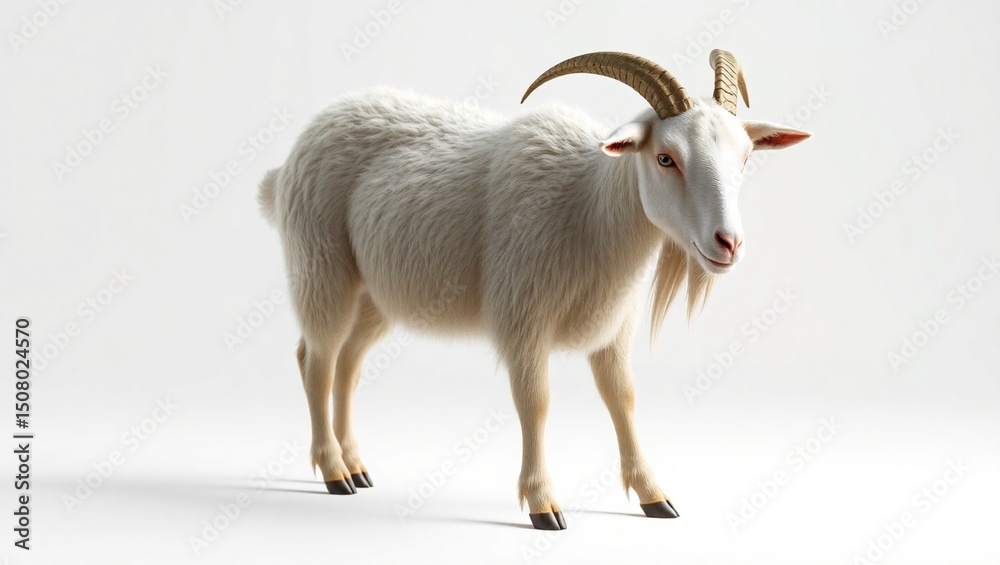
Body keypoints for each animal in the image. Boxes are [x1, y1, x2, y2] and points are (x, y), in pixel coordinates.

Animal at [259, 50, 810, 530]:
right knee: (316, 361)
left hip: (376, 293)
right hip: (321, 266)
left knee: (348, 365)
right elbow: (536, 403)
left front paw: (654, 496)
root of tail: (284, 167)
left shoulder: (614, 325)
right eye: (665, 158)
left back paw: (356, 466)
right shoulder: (523, 315)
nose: (729, 243)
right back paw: (334, 472)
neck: (589, 209)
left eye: (745, 158)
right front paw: (543, 504)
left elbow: (623, 398)